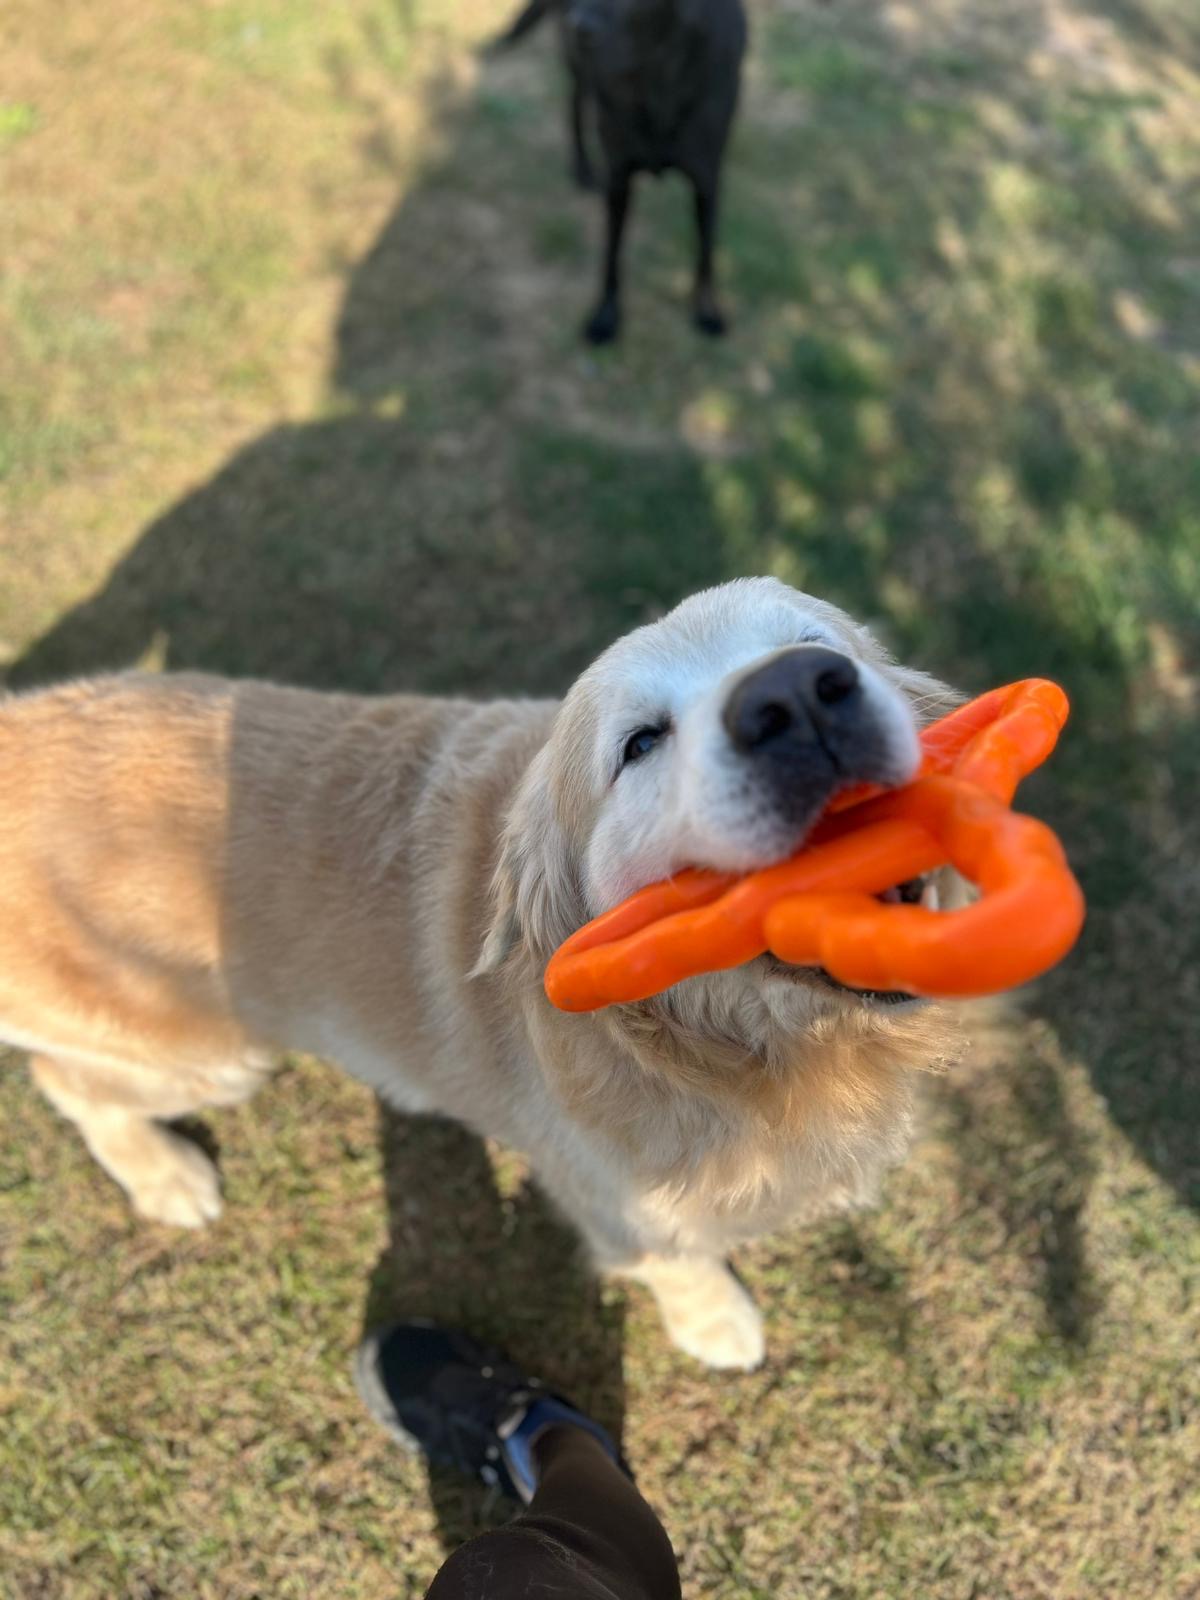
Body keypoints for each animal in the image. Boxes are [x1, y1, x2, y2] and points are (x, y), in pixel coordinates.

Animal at [0, 579, 962, 1369]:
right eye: (640, 744)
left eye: (823, 646)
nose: (798, 694)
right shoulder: (617, 1200)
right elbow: (677, 1264)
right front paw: (718, 1325)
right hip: (207, 1052)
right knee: (66, 1082)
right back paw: (167, 1177)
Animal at [490, 0, 747, 343]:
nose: (579, 27)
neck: (653, 78)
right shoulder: (618, 179)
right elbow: (611, 254)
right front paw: (605, 315)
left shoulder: (707, 180)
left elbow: (705, 250)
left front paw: (706, 309)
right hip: (578, 68)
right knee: (574, 106)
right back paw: (583, 170)